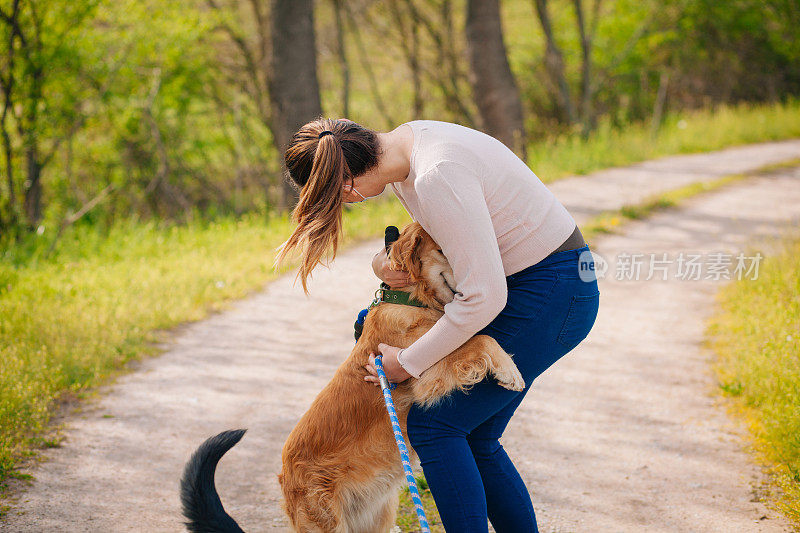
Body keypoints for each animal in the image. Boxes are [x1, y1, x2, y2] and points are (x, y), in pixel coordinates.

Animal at [180, 222, 524, 528]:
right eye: (444, 250)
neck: (410, 298)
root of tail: (283, 474)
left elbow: (480, 337)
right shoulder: (421, 366)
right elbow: (481, 339)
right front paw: (510, 371)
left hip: (380, 515)